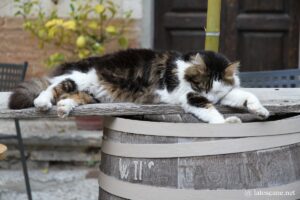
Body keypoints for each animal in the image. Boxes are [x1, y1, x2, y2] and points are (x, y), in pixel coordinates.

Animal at [8, 48, 270, 123]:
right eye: (202, 86)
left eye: (215, 89)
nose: (210, 96)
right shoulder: (190, 97)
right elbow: (212, 114)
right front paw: (227, 122)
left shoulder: (227, 94)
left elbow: (247, 97)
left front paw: (260, 110)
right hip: (82, 78)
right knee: (54, 87)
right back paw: (42, 102)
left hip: (94, 95)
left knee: (69, 96)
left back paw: (64, 109)